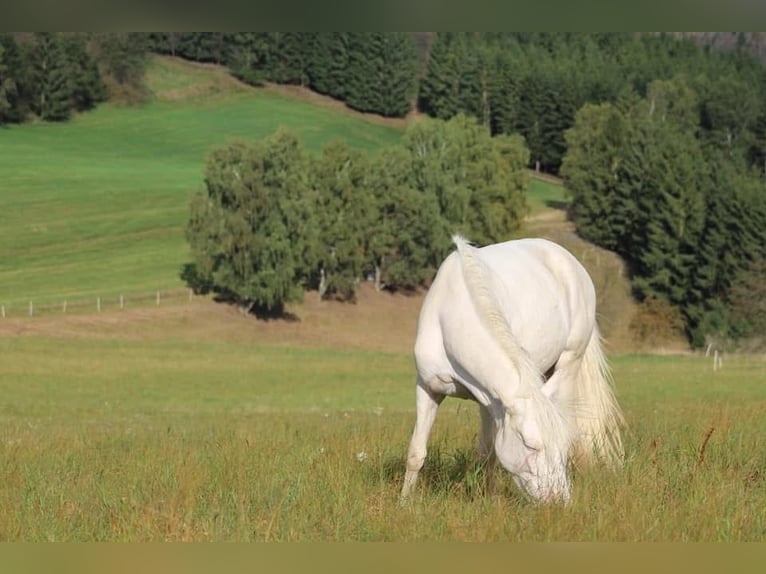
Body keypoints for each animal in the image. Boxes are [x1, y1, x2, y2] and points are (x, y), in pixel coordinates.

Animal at [402, 235, 624, 504]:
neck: (451, 319)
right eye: (530, 445)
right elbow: (416, 452)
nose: (558, 500)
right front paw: (404, 502)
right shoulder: (428, 388)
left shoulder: (490, 401)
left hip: (569, 363)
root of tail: (571, 262)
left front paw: (487, 498)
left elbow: (488, 453)